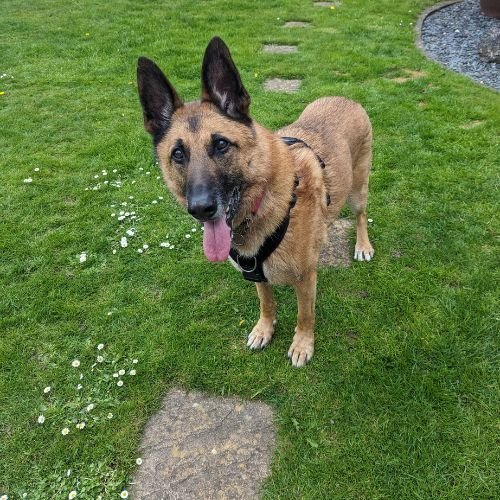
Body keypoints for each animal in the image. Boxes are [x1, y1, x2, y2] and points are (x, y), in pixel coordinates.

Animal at [135, 36, 374, 368]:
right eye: (178, 154)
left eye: (221, 144)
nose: (200, 209)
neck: (265, 203)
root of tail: (344, 98)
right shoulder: (257, 273)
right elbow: (266, 301)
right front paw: (264, 329)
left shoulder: (305, 279)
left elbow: (305, 315)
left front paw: (302, 344)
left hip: (357, 190)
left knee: (361, 216)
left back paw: (363, 246)